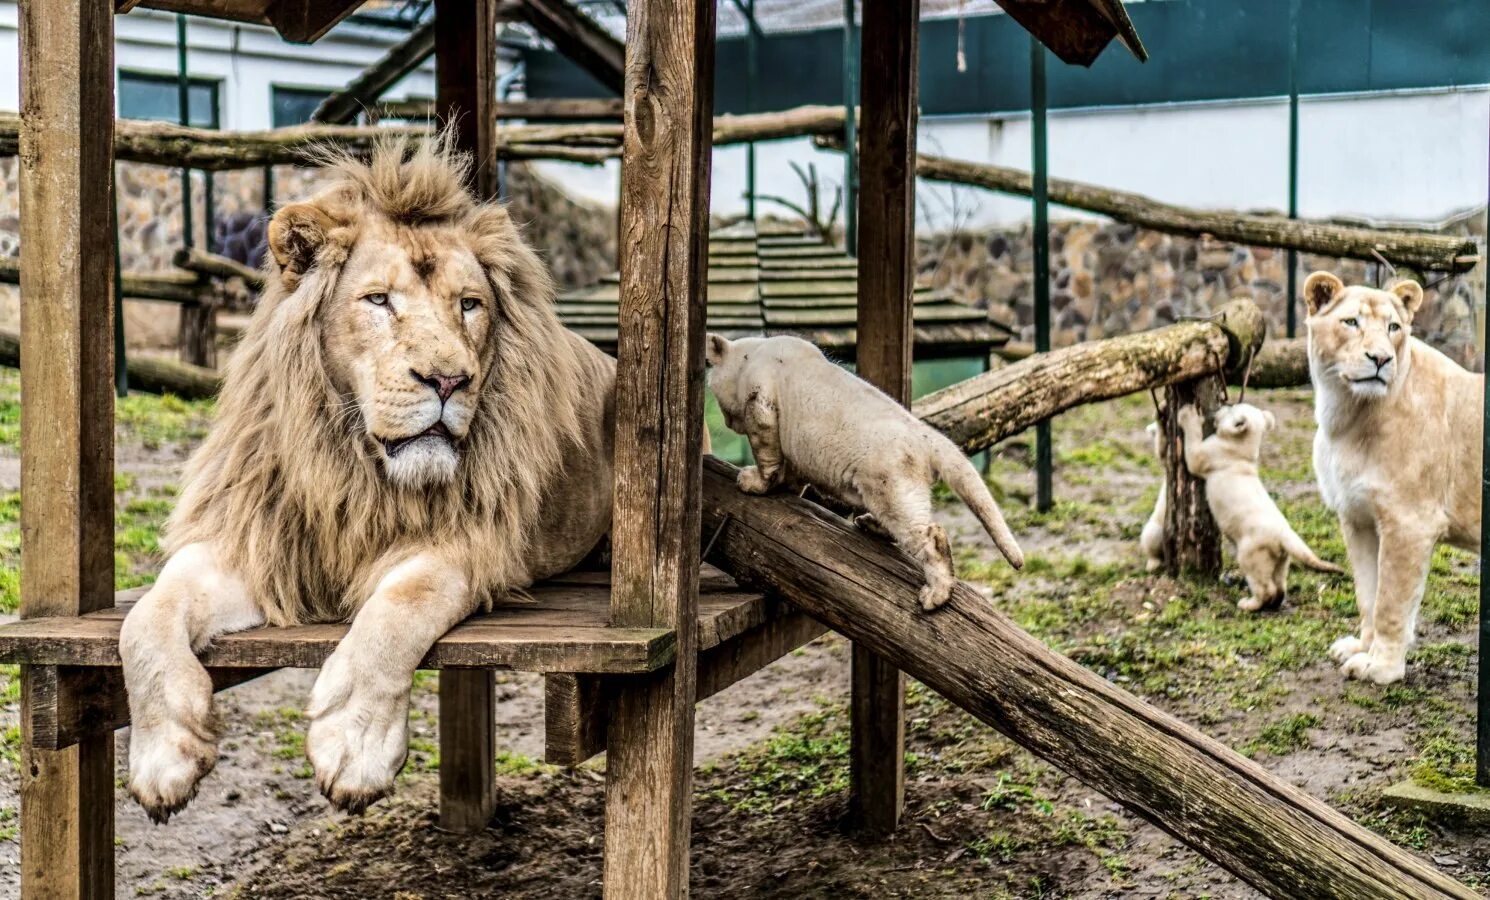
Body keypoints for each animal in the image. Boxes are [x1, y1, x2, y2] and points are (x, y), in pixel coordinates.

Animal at [114, 137, 616, 816]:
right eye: (379, 300)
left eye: (469, 305)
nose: (449, 380)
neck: (353, 463)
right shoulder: (253, 541)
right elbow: (143, 619)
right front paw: (163, 755)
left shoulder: (469, 545)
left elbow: (397, 611)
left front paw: (353, 746)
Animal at [1305, 271, 1478, 685]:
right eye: (1351, 322)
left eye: (1393, 327)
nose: (1381, 358)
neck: (1345, 415)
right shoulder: (1358, 519)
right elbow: (1368, 594)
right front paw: (1360, 648)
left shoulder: (1410, 523)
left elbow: (1391, 602)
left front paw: (1381, 667)